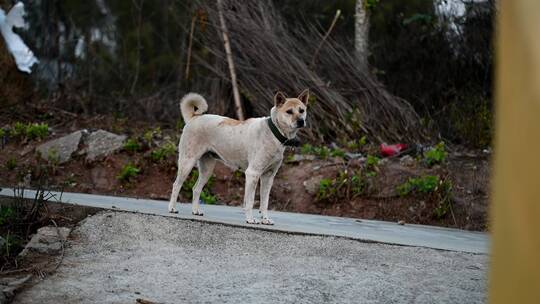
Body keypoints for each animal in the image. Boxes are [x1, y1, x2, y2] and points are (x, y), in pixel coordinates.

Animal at [169, 89, 308, 224]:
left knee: (196, 189)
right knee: (176, 185)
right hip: (187, 163)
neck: (274, 132)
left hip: (207, 170)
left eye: (302, 110)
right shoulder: (252, 173)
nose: (301, 121)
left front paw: (265, 219)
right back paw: (172, 208)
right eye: (289, 111)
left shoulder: (268, 177)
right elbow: (250, 201)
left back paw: (195, 211)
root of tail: (194, 118)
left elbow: (264, 202)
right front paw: (250, 219)